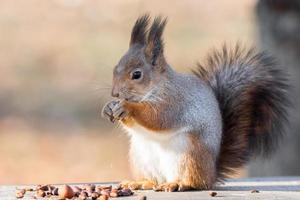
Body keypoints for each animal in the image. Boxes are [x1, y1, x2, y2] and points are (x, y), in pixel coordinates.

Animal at [102, 14, 290, 191]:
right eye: (114, 69)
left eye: (137, 74)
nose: (114, 93)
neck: (157, 87)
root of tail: (212, 173)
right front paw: (108, 107)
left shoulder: (175, 102)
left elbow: (158, 118)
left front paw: (127, 107)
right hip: (140, 157)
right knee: (155, 180)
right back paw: (141, 183)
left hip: (189, 155)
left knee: (196, 182)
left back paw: (178, 184)